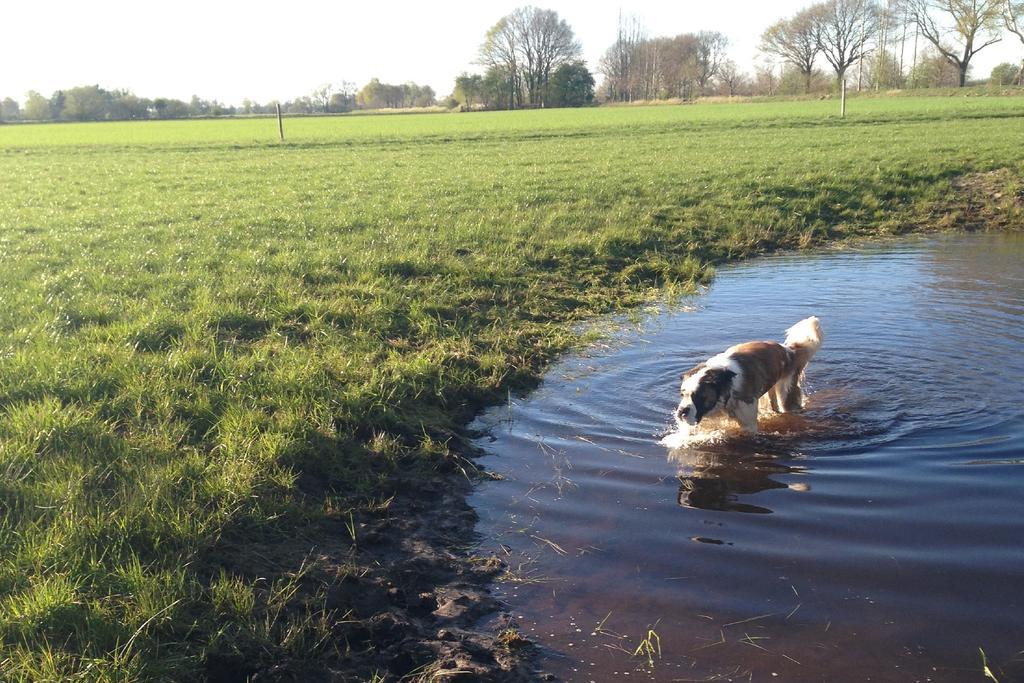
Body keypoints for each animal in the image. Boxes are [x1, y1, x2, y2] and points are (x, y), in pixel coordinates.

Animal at [679, 317, 823, 436]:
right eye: (682, 395)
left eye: (699, 396)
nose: (681, 412)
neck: (726, 381)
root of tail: (788, 350)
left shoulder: (748, 424)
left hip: (786, 394)